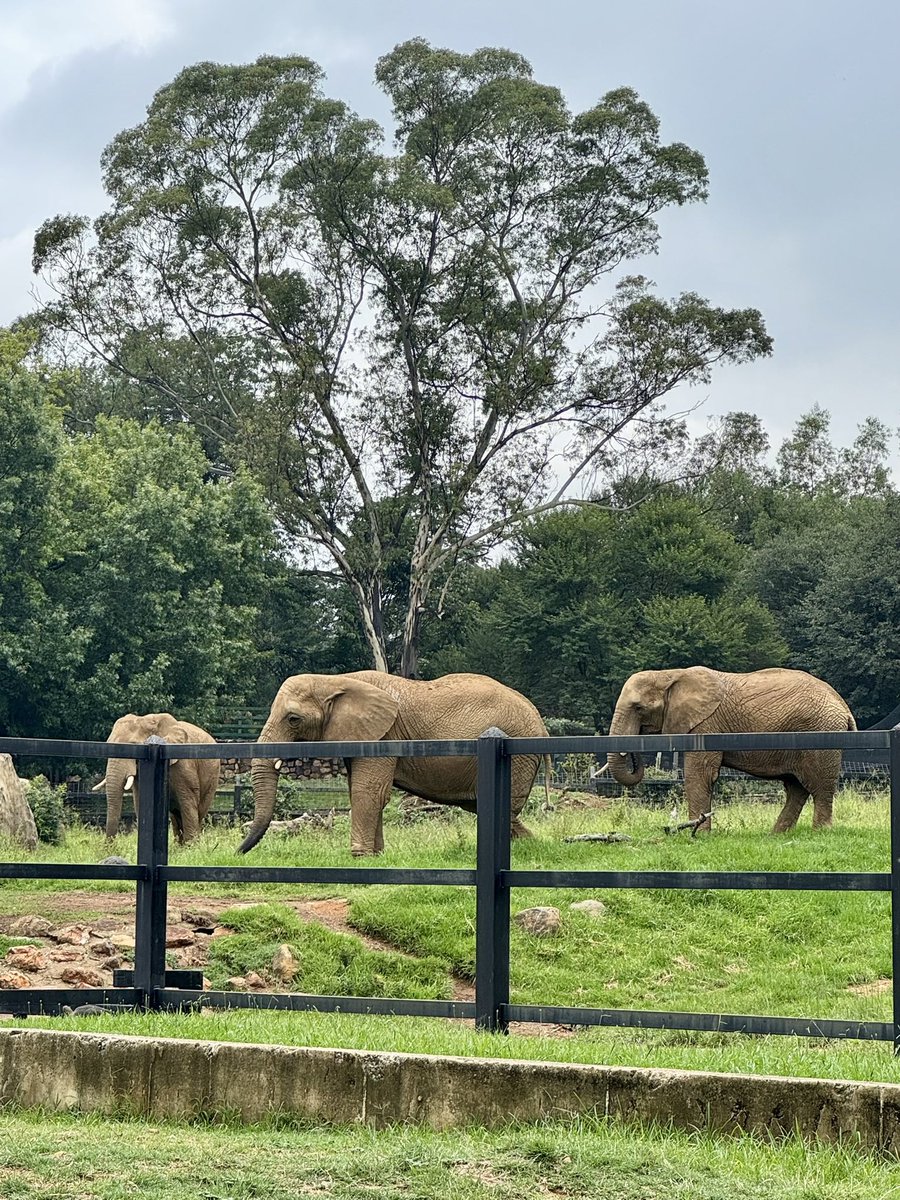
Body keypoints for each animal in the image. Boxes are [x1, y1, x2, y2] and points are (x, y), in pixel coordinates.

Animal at [93, 712, 220, 842]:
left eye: (134, 744)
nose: (109, 846)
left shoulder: (185, 766)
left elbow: (188, 803)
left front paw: (191, 846)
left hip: (212, 777)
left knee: (198, 811)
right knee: (176, 815)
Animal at [238, 670, 550, 856]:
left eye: (293, 719)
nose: (237, 853)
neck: (335, 679)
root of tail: (541, 722)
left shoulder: (385, 734)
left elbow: (368, 791)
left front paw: (359, 857)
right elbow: (363, 791)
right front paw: (375, 856)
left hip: (518, 751)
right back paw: (530, 844)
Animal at [606, 667, 856, 832]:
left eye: (638, 708)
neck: (669, 674)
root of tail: (844, 707)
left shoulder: (706, 726)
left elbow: (699, 775)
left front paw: (698, 835)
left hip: (821, 735)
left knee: (819, 787)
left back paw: (820, 832)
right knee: (796, 788)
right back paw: (777, 834)